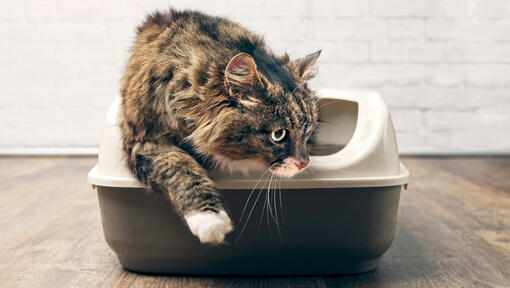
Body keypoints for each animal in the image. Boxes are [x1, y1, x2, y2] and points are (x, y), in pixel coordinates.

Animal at [119, 8, 318, 243]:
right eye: (278, 134)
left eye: (307, 131)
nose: (304, 163)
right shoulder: (145, 140)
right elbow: (180, 168)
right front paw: (209, 220)